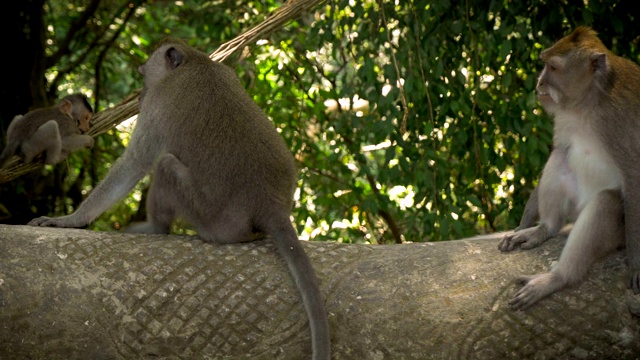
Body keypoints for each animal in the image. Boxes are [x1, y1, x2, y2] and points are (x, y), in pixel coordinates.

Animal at [28, 39, 330, 360]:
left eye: (144, 75)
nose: (140, 91)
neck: (196, 62)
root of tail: (270, 203)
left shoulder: (158, 103)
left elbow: (135, 163)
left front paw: (70, 220)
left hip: (209, 216)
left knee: (166, 165)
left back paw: (154, 228)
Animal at [500, 26, 640, 310]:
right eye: (544, 64)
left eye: (553, 68)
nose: (539, 83)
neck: (589, 102)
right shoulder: (563, 115)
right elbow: (560, 147)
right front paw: (523, 224)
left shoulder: (619, 121)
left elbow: (634, 172)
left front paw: (636, 266)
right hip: (575, 206)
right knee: (560, 157)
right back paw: (544, 229)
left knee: (606, 202)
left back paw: (558, 278)